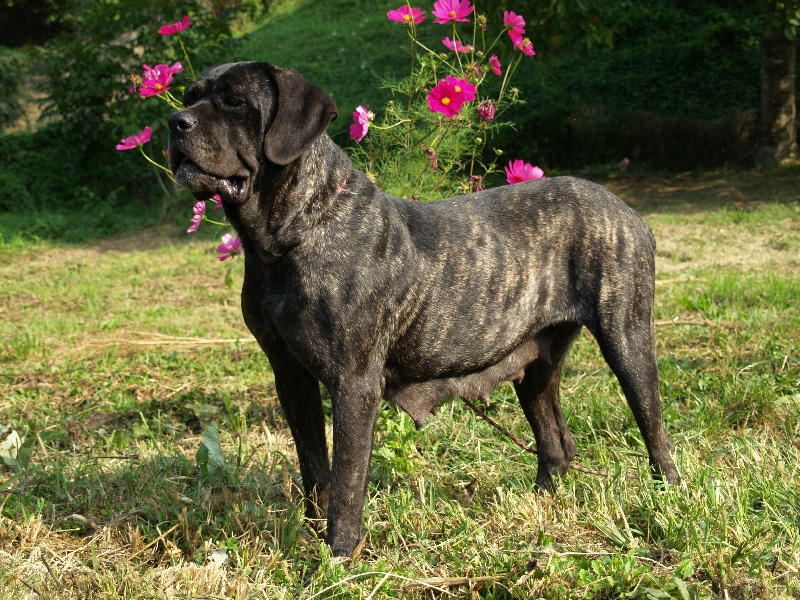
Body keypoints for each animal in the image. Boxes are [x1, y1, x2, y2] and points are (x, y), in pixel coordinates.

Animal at [169, 61, 680, 556]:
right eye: (189, 96)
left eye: (236, 102)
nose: (175, 122)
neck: (291, 236)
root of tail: (630, 212)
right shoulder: (291, 377)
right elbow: (314, 469)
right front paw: (312, 540)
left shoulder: (354, 383)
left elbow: (347, 481)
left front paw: (339, 555)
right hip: (536, 366)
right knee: (555, 443)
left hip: (627, 341)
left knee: (654, 430)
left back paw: (668, 495)